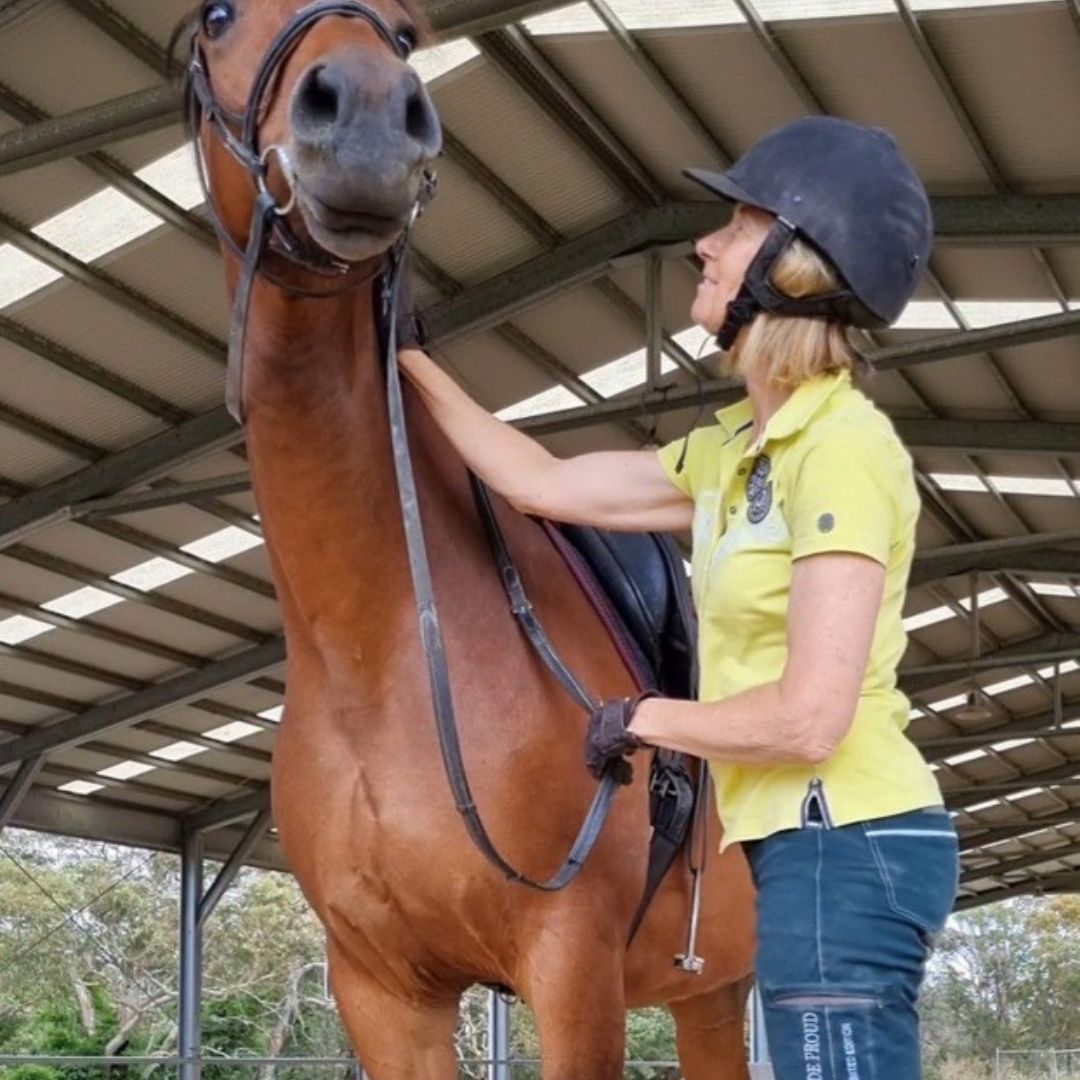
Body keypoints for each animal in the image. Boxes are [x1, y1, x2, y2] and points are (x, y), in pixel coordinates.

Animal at [181, 4, 756, 1075]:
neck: (379, 651)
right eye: (217, 16)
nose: (368, 118)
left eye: (406, 35)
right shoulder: (382, 991)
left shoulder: (572, 966)